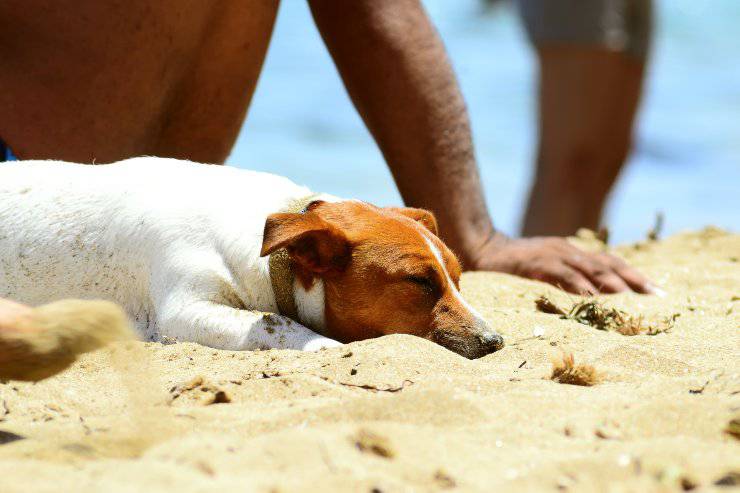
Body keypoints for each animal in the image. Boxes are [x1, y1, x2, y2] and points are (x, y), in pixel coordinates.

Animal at [0, 158, 502, 358]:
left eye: (459, 279)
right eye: (420, 282)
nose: (495, 341)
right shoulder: (183, 309)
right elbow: (273, 321)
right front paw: (323, 346)